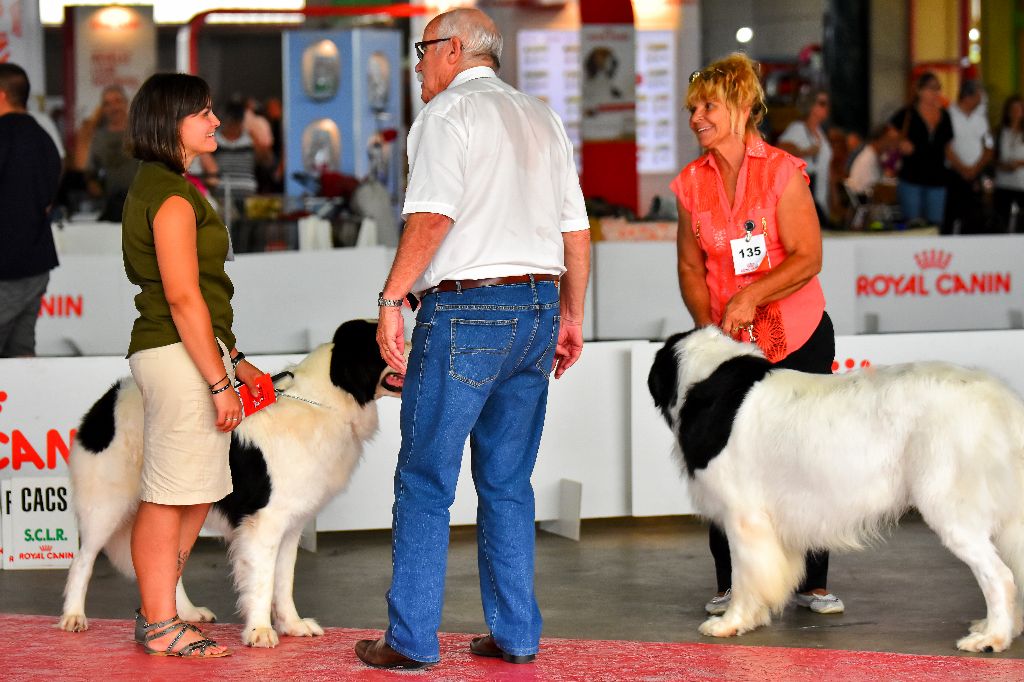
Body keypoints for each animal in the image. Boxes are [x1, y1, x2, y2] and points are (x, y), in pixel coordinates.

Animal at [58, 321, 403, 647]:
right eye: (385, 344)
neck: (325, 402)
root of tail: (108, 400)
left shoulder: (291, 523)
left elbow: (284, 579)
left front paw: (292, 624)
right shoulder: (264, 523)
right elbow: (263, 580)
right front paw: (260, 631)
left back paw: (185, 613)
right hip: (106, 504)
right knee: (83, 561)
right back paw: (73, 616)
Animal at [647, 327, 1024, 651]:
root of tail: (1002, 400)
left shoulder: (744, 516)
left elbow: (745, 575)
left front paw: (731, 622)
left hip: (949, 506)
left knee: (1000, 575)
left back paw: (991, 638)